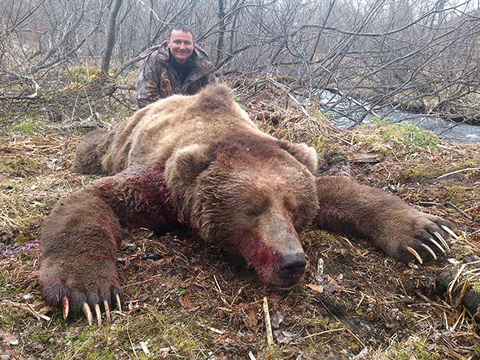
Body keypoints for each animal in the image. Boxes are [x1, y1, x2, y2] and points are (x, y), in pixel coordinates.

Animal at [39, 83, 456, 324]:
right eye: (251, 210)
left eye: (293, 209)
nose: (293, 261)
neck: (222, 131)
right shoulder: (159, 186)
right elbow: (93, 198)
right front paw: (89, 291)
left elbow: (337, 188)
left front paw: (426, 233)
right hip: (119, 140)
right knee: (94, 149)